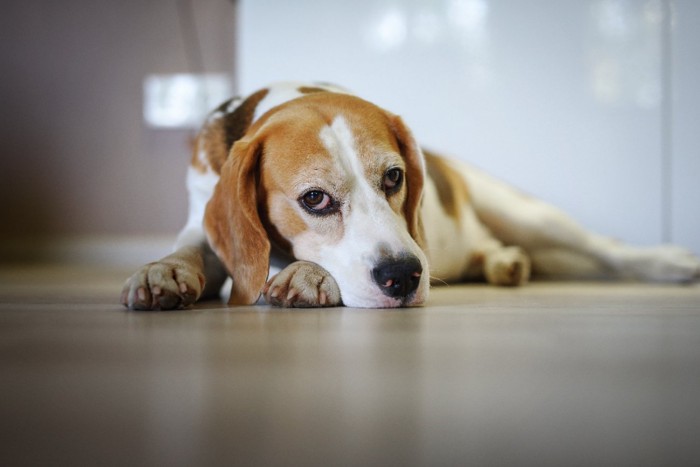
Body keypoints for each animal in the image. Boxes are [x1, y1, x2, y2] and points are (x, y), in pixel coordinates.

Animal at [120, 83, 700, 310]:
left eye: (394, 177)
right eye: (314, 199)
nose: (403, 276)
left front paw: (305, 275)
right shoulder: (204, 219)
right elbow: (192, 249)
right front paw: (161, 272)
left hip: (523, 211)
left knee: (608, 248)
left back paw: (670, 262)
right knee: (490, 250)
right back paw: (502, 263)